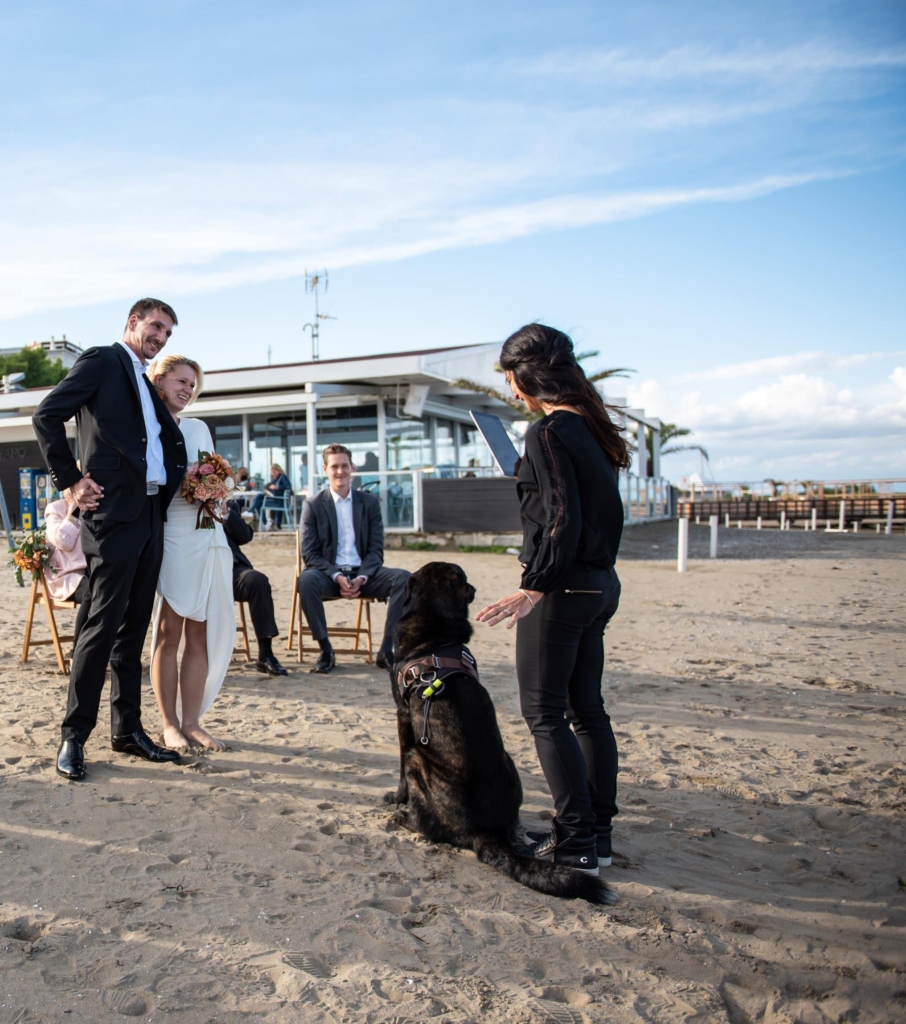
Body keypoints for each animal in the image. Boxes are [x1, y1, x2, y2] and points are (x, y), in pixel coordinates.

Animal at [380, 561, 614, 905]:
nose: (475, 588)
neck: (435, 624)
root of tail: (485, 831)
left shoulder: (402, 716)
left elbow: (398, 772)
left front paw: (396, 798)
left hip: (417, 758)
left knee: (427, 825)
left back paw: (404, 818)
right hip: (509, 762)